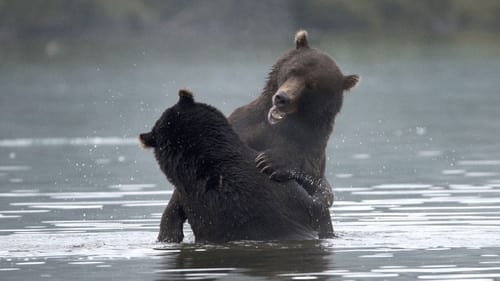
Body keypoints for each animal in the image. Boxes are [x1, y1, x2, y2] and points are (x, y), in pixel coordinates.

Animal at [158, 30, 358, 241]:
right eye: (293, 70)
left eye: (312, 85)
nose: (282, 98)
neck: (279, 126)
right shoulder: (244, 126)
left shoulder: (312, 144)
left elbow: (310, 174)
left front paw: (270, 161)